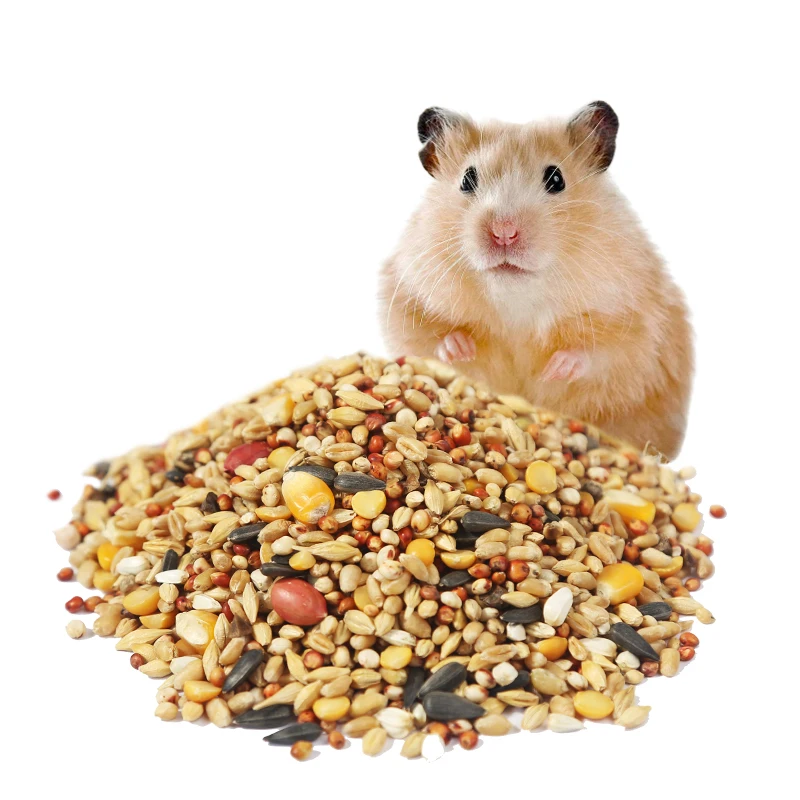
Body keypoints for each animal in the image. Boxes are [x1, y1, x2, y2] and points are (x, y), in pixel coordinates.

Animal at [379, 102, 693, 459]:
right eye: (467, 179)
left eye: (556, 179)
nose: (504, 232)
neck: (516, 296)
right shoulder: (406, 296)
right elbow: (429, 337)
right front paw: (460, 348)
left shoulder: (636, 322)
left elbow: (603, 353)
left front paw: (555, 369)